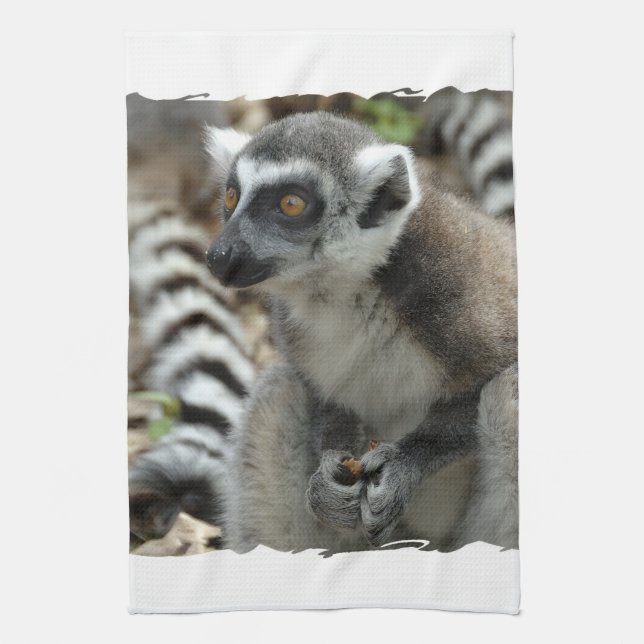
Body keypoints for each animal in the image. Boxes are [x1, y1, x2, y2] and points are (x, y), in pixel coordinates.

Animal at [200, 110, 517, 553]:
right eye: (231, 197)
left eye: (291, 203)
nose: (218, 255)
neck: (347, 290)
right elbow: (323, 395)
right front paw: (327, 476)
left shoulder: (460, 292)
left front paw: (404, 465)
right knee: (280, 392)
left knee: (509, 392)